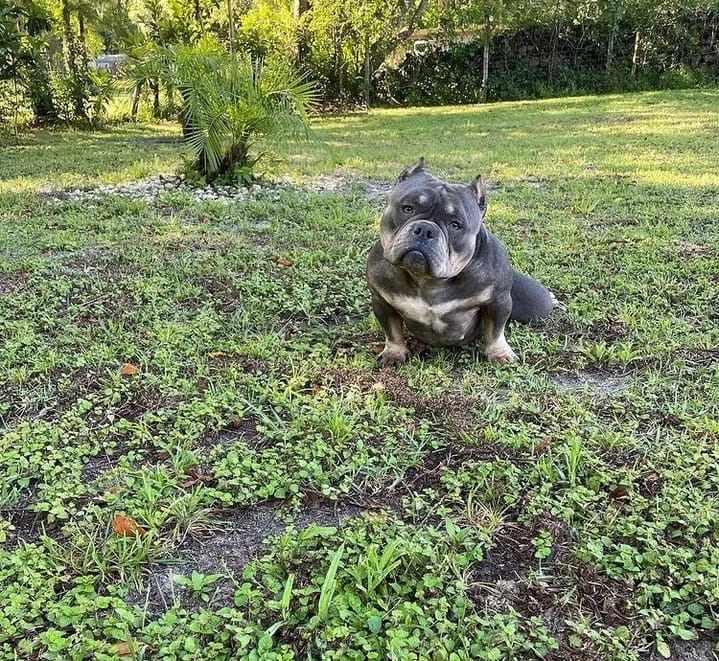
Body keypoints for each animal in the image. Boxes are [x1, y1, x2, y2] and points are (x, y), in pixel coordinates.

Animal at [366, 158, 556, 368]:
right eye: (407, 208)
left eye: (455, 225)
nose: (425, 229)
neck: (428, 281)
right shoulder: (382, 301)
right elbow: (392, 331)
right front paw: (394, 352)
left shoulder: (498, 301)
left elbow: (496, 331)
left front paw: (500, 353)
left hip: (536, 305)